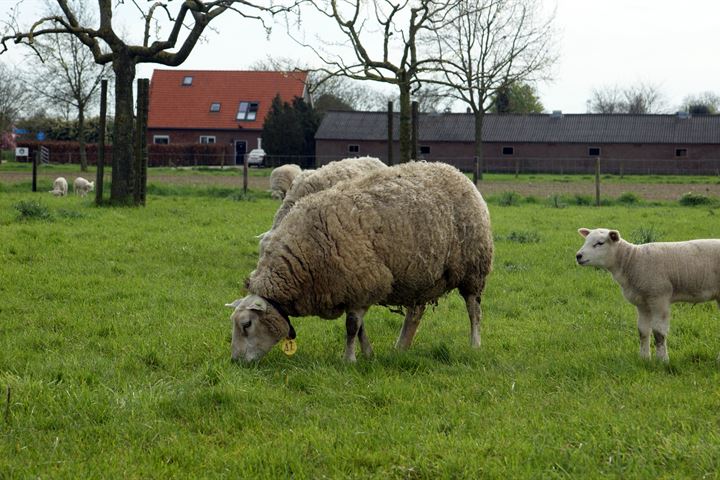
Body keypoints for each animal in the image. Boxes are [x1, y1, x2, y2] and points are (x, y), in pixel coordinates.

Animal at [228, 159, 492, 362]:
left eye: (246, 325)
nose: (235, 361)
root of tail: (456, 172)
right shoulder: (355, 289)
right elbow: (360, 327)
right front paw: (368, 354)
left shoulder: (362, 282)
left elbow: (351, 327)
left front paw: (350, 359)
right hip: (420, 274)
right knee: (415, 313)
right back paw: (401, 348)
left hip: (474, 269)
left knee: (474, 310)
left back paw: (475, 344)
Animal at [576, 228, 720, 360]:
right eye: (586, 240)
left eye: (600, 243)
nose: (578, 256)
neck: (631, 261)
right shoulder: (642, 303)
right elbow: (643, 331)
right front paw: (644, 358)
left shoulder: (659, 298)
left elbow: (659, 333)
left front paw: (662, 360)